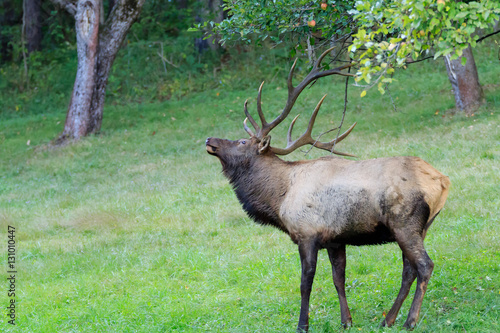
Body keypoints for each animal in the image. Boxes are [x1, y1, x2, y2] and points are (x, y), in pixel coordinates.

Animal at [205, 48, 452, 330]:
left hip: (405, 222)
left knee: (424, 265)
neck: (279, 198)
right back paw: (387, 319)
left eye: (242, 141)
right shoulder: (335, 240)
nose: (209, 139)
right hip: (422, 227)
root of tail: (442, 180)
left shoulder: (307, 234)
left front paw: (302, 325)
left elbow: (305, 284)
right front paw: (346, 321)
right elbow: (338, 280)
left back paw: (410, 321)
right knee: (408, 269)